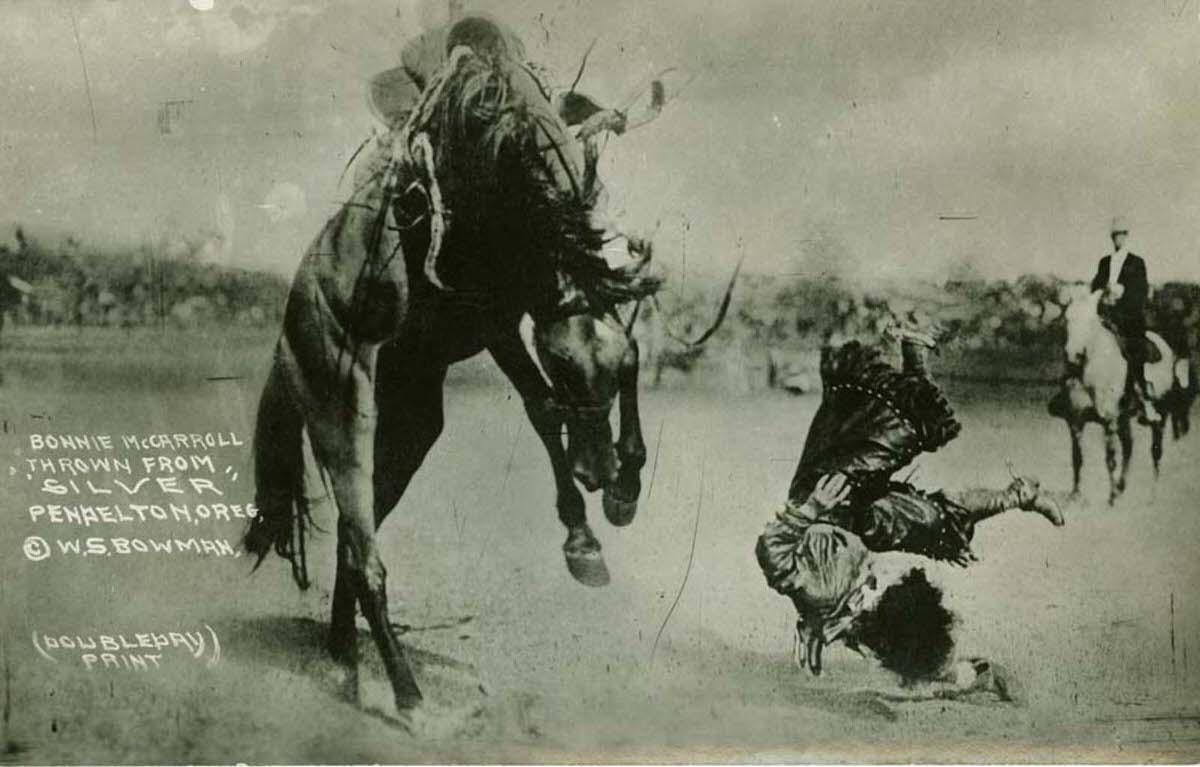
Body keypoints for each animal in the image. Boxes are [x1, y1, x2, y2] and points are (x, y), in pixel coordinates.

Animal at [1056, 288, 1185, 504]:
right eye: (1067, 319)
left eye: (1091, 321)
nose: (1073, 356)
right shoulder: (1076, 421)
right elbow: (1077, 457)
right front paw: (1076, 495)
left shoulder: (1109, 420)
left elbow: (1110, 459)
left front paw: (1112, 500)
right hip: (1124, 417)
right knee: (1128, 447)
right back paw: (1122, 487)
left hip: (1161, 415)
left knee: (1156, 452)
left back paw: (1152, 496)